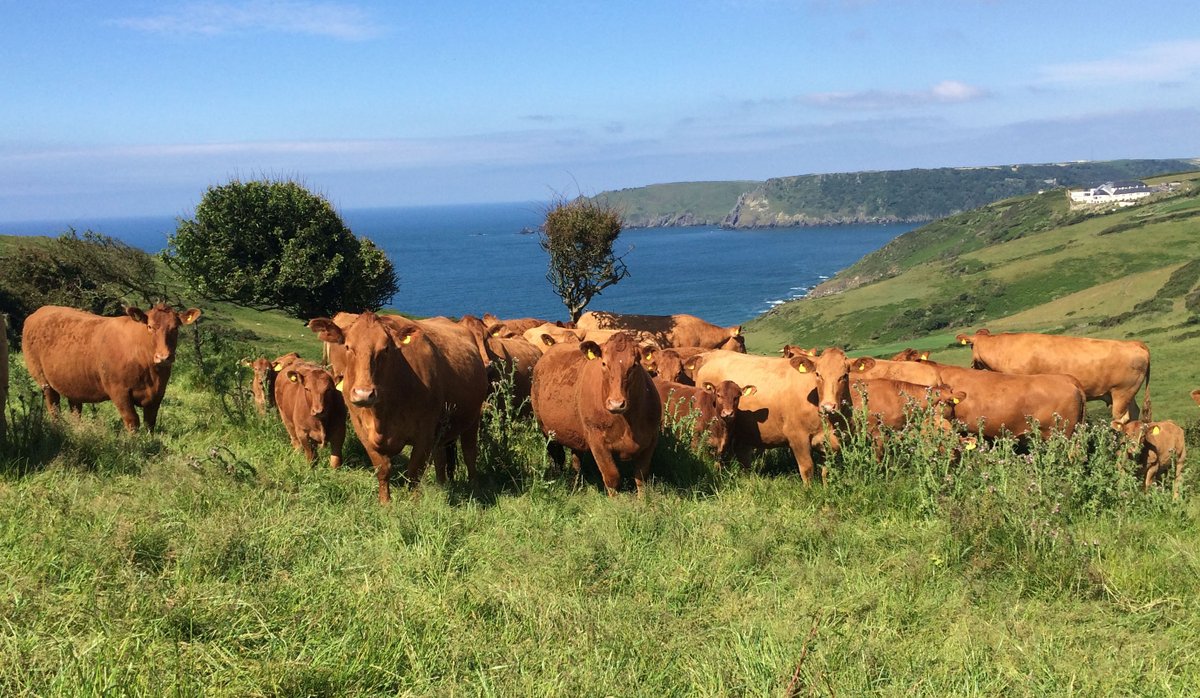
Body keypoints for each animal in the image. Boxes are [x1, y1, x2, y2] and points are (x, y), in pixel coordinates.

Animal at [22, 304, 201, 432]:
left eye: (175, 327)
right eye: (150, 326)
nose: (163, 357)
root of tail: (40, 311)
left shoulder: (158, 393)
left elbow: (150, 422)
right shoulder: (119, 391)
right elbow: (132, 421)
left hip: (72, 380)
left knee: (75, 408)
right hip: (43, 379)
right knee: (53, 405)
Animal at [308, 312, 488, 504]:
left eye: (386, 349)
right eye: (348, 347)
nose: (364, 394)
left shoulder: (424, 433)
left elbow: (414, 471)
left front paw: (413, 502)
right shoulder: (362, 431)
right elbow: (382, 469)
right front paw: (385, 503)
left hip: (472, 418)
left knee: (469, 453)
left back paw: (474, 487)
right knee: (440, 456)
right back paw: (441, 485)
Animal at [530, 332, 661, 495]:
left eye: (634, 365)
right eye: (604, 363)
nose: (616, 403)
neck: (627, 423)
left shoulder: (650, 440)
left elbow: (641, 478)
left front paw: (642, 500)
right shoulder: (597, 441)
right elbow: (612, 477)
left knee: (576, 460)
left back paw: (578, 484)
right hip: (546, 430)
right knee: (558, 456)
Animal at [692, 348, 871, 482]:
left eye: (844, 376)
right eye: (818, 374)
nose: (828, 406)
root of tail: (710, 356)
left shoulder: (831, 442)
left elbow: (826, 471)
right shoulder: (797, 437)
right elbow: (807, 468)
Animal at [956, 329, 1150, 423]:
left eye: (971, 347)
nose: (972, 365)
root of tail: (1134, 344)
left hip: (1121, 393)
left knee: (1121, 419)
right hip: (1127, 395)